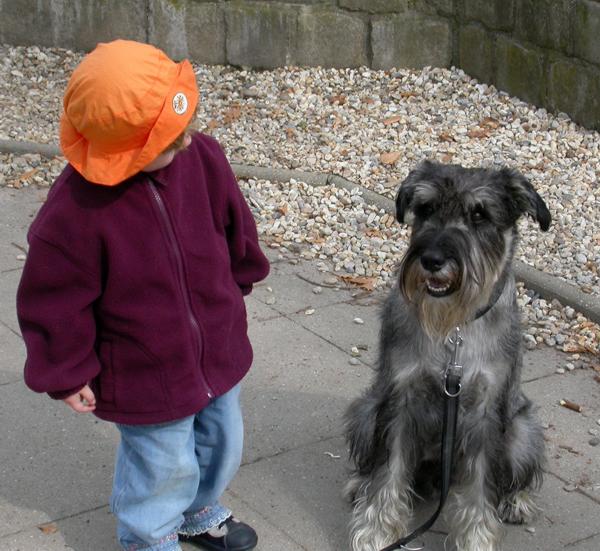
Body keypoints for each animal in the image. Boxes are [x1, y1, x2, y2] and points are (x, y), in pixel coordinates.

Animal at [344, 161, 552, 551]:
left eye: (479, 214)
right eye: (425, 209)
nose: (432, 260)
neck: (453, 330)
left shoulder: (486, 412)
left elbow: (480, 486)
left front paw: (476, 540)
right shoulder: (401, 398)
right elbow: (389, 470)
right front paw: (376, 533)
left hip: (523, 431)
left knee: (510, 475)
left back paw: (516, 501)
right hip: (365, 409)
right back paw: (358, 484)